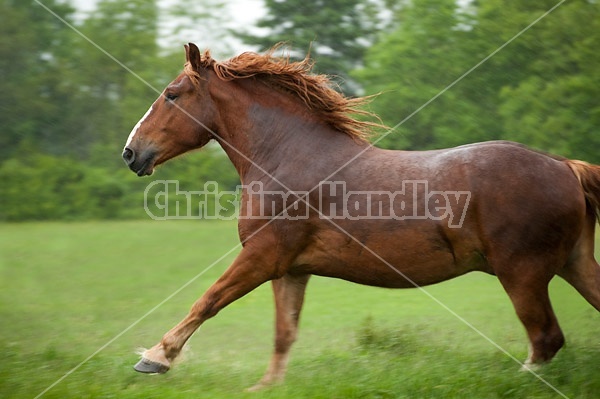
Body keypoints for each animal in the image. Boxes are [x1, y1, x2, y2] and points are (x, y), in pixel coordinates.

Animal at [122, 43, 600, 390]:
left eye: (171, 94)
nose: (130, 153)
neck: (286, 157)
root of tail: (566, 167)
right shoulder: (290, 269)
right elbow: (283, 333)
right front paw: (265, 388)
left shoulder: (262, 256)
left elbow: (208, 300)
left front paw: (154, 359)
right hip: (574, 263)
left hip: (522, 272)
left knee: (545, 338)